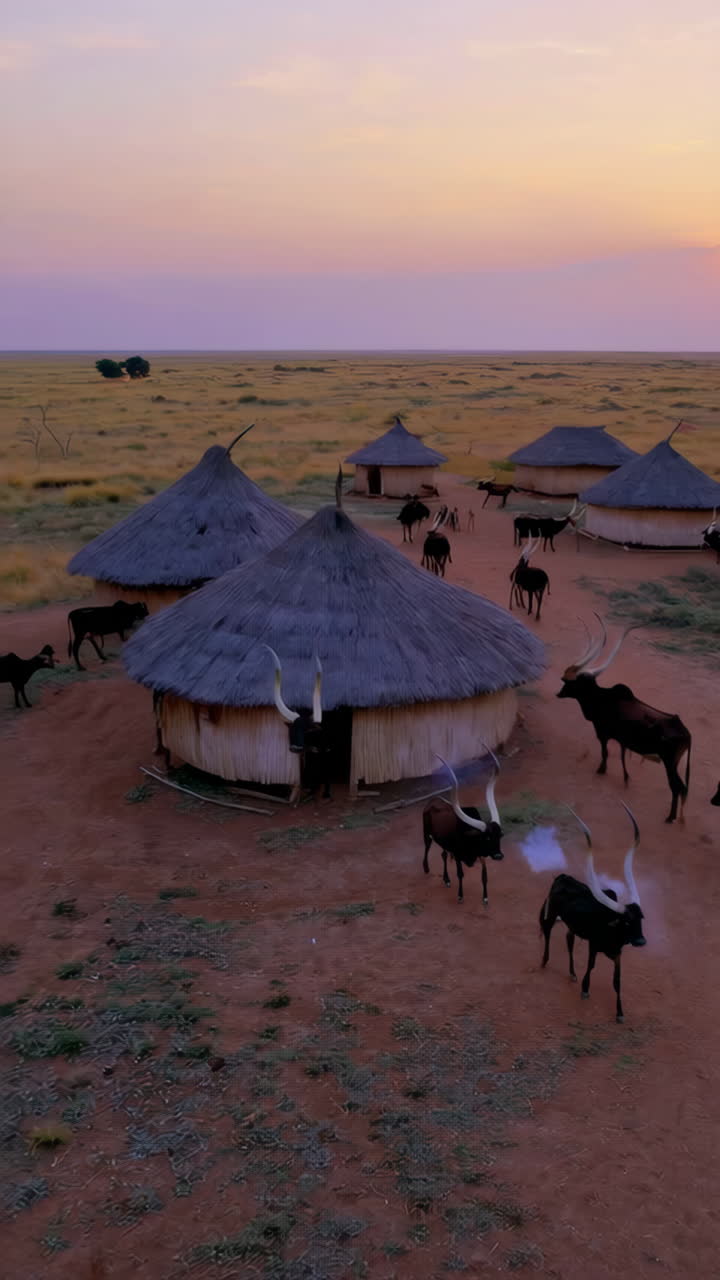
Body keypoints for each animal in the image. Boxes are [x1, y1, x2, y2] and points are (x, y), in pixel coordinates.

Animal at [265, 647, 334, 801]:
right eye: (291, 729)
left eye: (306, 731)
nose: (295, 748)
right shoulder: (307, 754)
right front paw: (309, 789)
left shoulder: (325, 751)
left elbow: (326, 771)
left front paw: (325, 793)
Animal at [423, 749, 504, 904]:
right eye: (487, 838)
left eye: (499, 836)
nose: (498, 856)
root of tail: (433, 800)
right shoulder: (458, 855)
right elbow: (460, 874)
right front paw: (460, 896)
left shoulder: (481, 854)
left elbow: (484, 875)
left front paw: (485, 898)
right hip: (426, 834)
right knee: (427, 847)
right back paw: (426, 868)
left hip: (443, 842)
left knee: (443, 854)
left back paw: (446, 879)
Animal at [540, 803, 646, 1022]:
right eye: (626, 921)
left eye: (641, 919)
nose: (641, 941)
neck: (612, 930)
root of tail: (563, 877)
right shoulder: (593, 945)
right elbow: (591, 966)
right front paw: (585, 989)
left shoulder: (618, 954)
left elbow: (617, 981)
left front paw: (620, 1013)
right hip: (551, 914)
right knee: (547, 933)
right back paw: (544, 961)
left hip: (572, 926)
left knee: (569, 940)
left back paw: (572, 973)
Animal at [557, 615, 691, 823]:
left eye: (572, 682)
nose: (559, 692)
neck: (602, 698)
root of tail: (686, 733)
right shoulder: (621, 739)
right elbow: (621, 755)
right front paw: (626, 778)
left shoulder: (602, 733)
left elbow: (605, 753)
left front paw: (601, 770)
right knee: (683, 789)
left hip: (670, 764)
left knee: (677, 787)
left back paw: (670, 818)